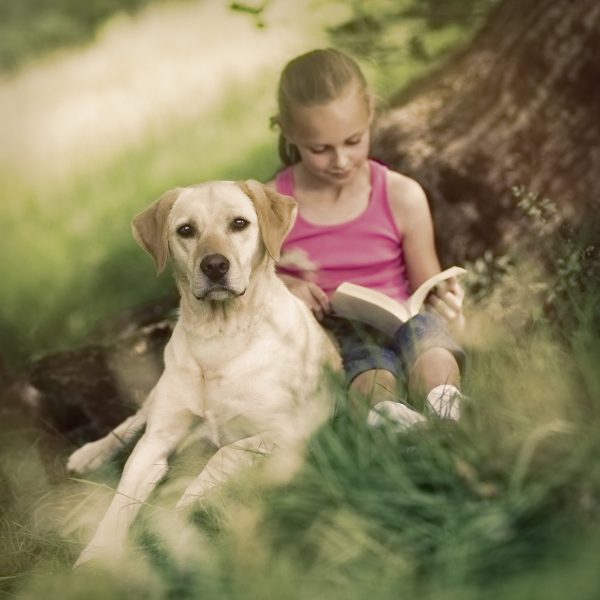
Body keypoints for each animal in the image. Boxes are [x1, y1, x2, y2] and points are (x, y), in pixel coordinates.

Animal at [67, 180, 340, 564]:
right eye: (186, 230)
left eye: (239, 224)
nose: (214, 266)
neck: (219, 336)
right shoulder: (156, 442)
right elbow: (120, 501)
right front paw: (97, 556)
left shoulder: (289, 430)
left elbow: (221, 456)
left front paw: (175, 517)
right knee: (133, 420)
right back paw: (89, 453)